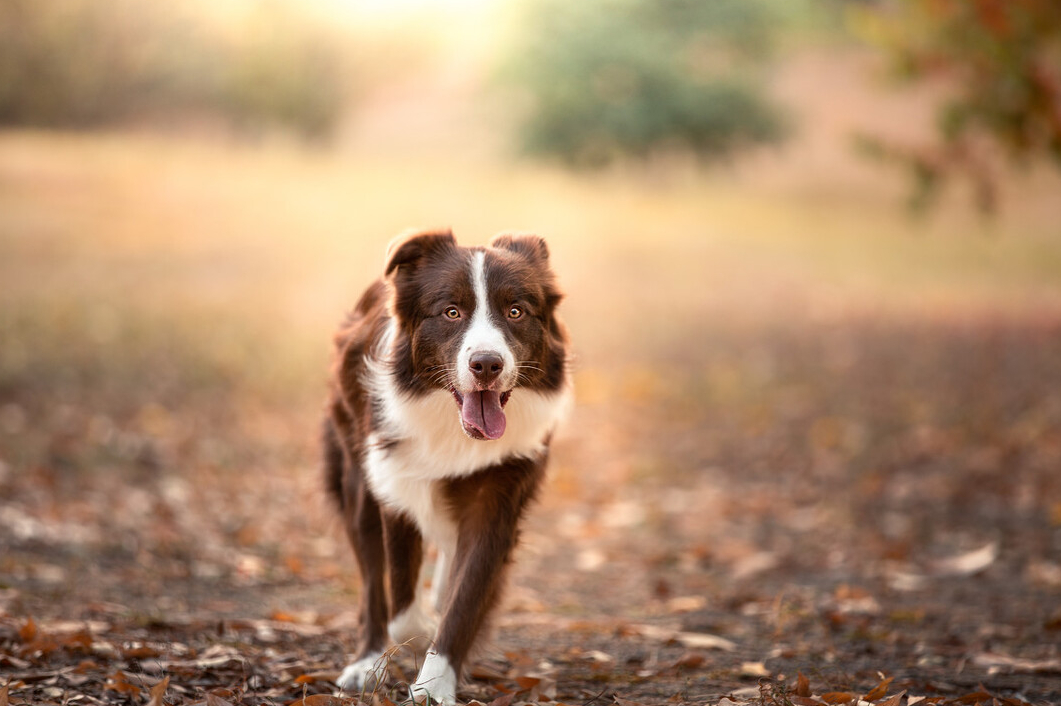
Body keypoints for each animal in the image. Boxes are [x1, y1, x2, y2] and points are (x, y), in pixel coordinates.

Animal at [322, 228, 572, 700]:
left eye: (516, 311)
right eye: (451, 312)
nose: (487, 364)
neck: (454, 426)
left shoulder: (500, 493)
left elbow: (467, 594)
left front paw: (435, 686)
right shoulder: (397, 480)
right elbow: (400, 603)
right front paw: (420, 630)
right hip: (355, 473)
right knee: (373, 583)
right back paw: (366, 664)